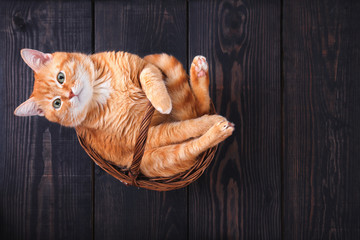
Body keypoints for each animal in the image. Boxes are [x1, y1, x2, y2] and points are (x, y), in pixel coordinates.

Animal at [14, 48, 235, 177]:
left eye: (61, 77)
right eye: (57, 103)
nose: (70, 94)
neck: (100, 89)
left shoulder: (145, 66)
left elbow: (148, 76)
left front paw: (161, 100)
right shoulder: (144, 135)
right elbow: (186, 127)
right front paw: (208, 123)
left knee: (197, 108)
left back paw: (199, 72)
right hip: (159, 158)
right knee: (192, 136)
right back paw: (219, 129)